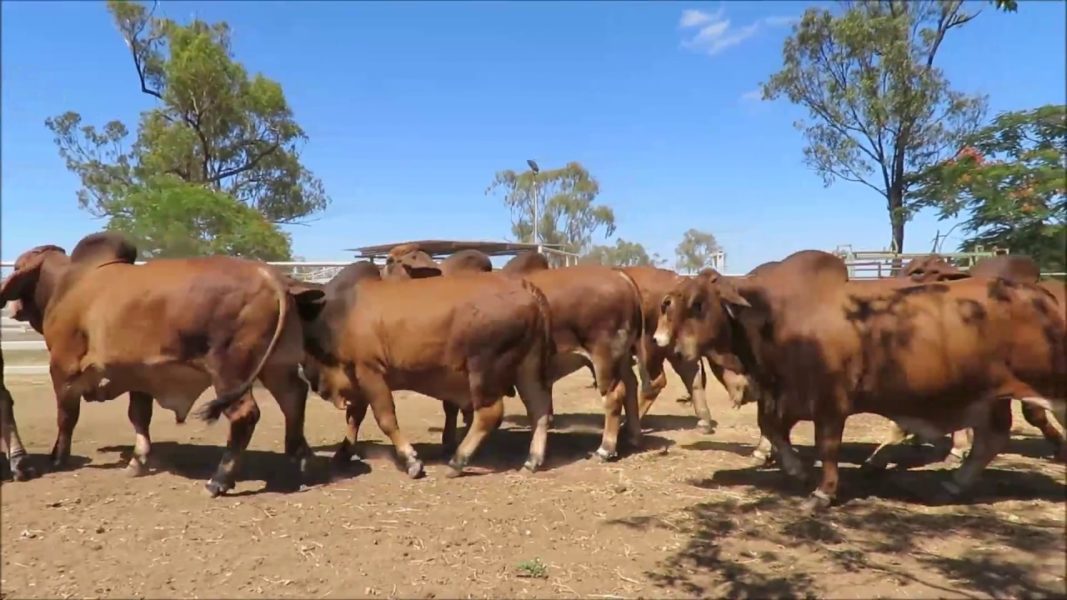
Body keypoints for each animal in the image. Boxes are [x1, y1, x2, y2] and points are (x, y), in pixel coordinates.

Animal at [2, 229, 322, 495]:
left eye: (17, 267)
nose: (12, 308)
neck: (67, 284)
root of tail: (271, 276)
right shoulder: (139, 374)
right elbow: (139, 416)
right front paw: (138, 461)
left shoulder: (63, 368)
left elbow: (67, 417)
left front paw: (58, 457)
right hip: (276, 366)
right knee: (294, 397)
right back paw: (301, 458)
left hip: (231, 371)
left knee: (245, 414)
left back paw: (219, 479)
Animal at [294, 272, 554, 476]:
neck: (340, 316)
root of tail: (520, 284)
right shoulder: (357, 378)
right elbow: (354, 418)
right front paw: (342, 453)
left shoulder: (369, 370)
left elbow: (385, 418)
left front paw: (411, 460)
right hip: (528, 367)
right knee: (539, 408)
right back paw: (532, 460)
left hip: (484, 370)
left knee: (490, 413)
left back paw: (458, 461)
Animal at [653, 247, 1062, 508]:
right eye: (669, 303)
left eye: (699, 304)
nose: (672, 348)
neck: (778, 318)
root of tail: (1042, 294)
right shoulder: (786, 396)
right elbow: (773, 429)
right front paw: (795, 469)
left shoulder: (829, 400)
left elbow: (826, 447)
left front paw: (823, 491)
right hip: (990, 395)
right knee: (992, 438)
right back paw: (954, 482)